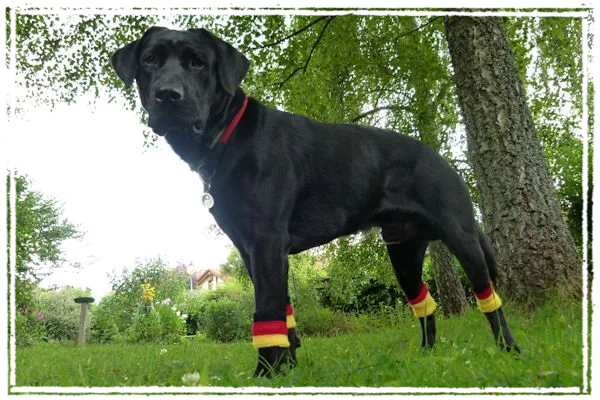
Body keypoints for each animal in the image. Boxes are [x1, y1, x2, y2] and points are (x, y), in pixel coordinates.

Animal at [113, 27, 520, 376]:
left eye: (198, 62)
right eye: (150, 60)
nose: (168, 94)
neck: (228, 137)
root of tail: (445, 159)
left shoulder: (267, 241)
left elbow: (268, 310)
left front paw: (266, 374)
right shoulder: (251, 250)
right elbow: (284, 314)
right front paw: (288, 371)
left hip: (462, 239)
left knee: (489, 300)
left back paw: (509, 350)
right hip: (403, 252)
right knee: (425, 303)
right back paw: (425, 354)